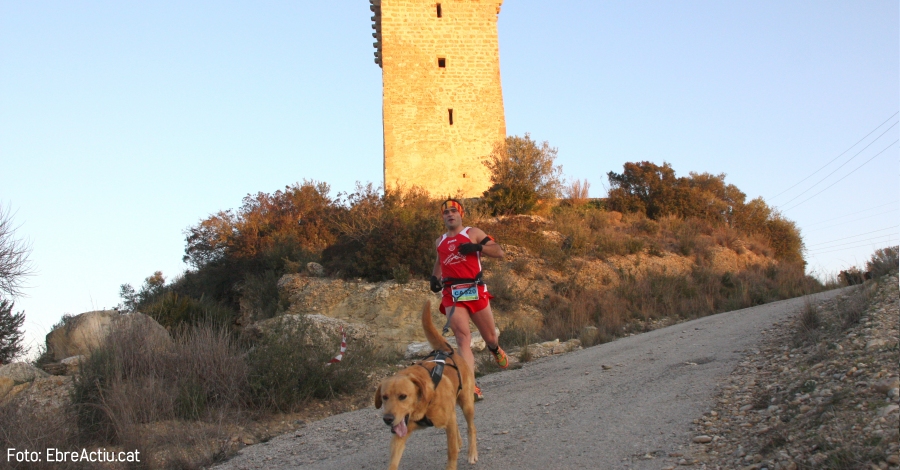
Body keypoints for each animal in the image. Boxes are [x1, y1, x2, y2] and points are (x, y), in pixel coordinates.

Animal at [374, 302, 478, 468]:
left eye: (403, 396)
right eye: (384, 397)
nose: (388, 419)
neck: (422, 404)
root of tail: (447, 350)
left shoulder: (448, 421)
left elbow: (451, 452)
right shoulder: (400, 433)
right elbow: (393, 462)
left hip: (467, 404)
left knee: (471, 428)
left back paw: (472, 453)